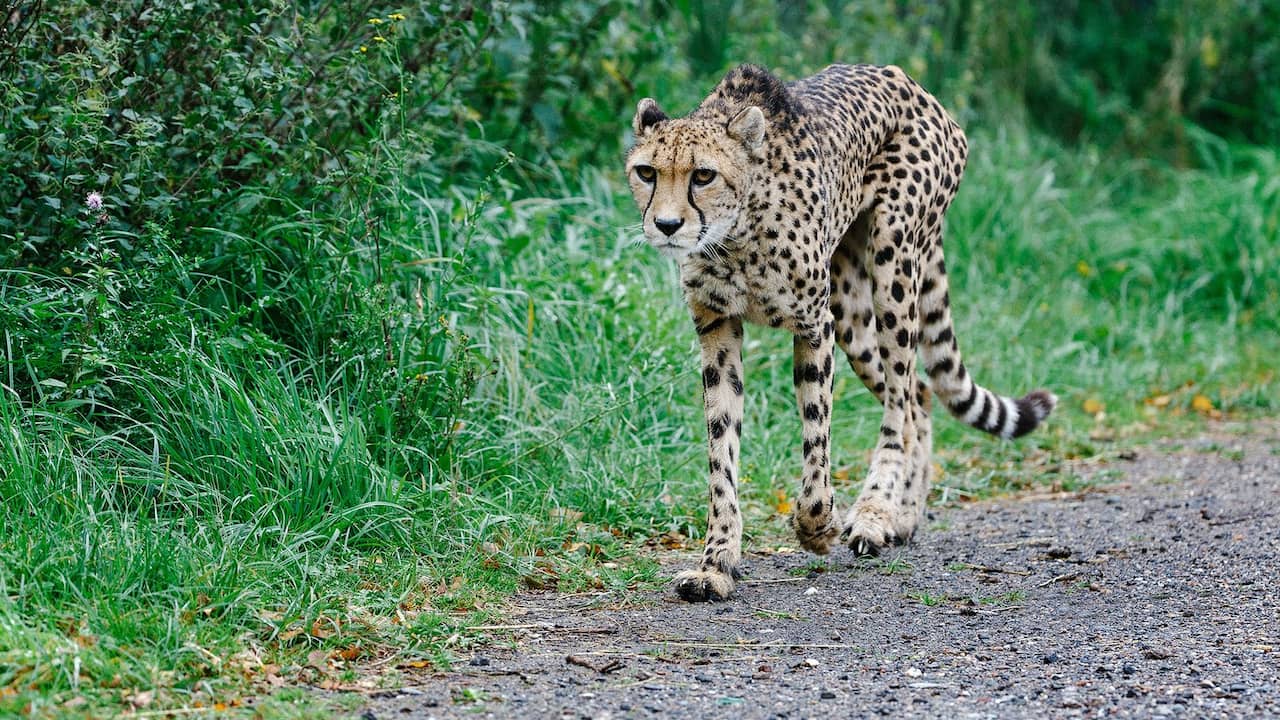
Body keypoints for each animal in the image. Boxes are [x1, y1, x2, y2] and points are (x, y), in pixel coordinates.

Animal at [624, 63, 1054, 599]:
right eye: (646, 172)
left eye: (703, 175)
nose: (665, 225)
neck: (736, 234)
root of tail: (909, 81)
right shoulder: (718, 330)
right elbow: (721, 454)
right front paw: (716, 563)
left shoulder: (814, 326)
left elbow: (816, 437)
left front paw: (817, 526)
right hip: (851, 311)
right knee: (919, 395)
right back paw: (903, 516)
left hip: (894, 258)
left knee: (900, 402)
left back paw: (874, 513)